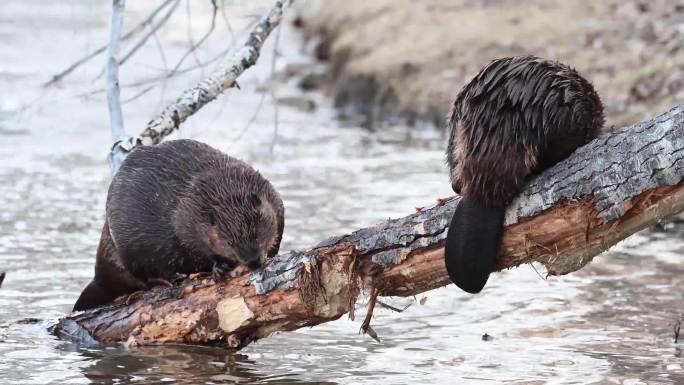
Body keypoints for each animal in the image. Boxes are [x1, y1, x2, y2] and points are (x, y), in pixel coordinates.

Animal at [75, 140, 286, 310]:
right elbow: (192, 243)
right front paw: (219, 268)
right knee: (139, 276)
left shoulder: (272, 197)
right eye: (230, 243)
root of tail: (98, 276)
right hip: (124, 248)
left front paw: (272, 253)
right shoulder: (186, 218)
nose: (253, 261)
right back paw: (169, 280)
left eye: (256, 233)